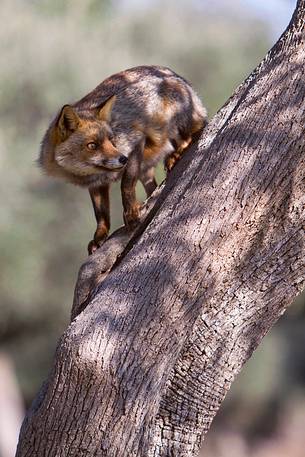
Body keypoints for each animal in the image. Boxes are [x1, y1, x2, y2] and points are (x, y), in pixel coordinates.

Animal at [38, 65, 207, 253]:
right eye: (92, 145)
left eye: (111, 140)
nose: (122, 159)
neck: (92, 173)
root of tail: (175, 75)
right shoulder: (95, 184)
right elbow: (101, 214)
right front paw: (99, 237)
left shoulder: (136, 143)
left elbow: (126, 184)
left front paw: (131, 212)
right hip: (147, 168)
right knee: (152, 187)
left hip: (171, 123)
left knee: (191, 135)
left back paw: (176, 154)